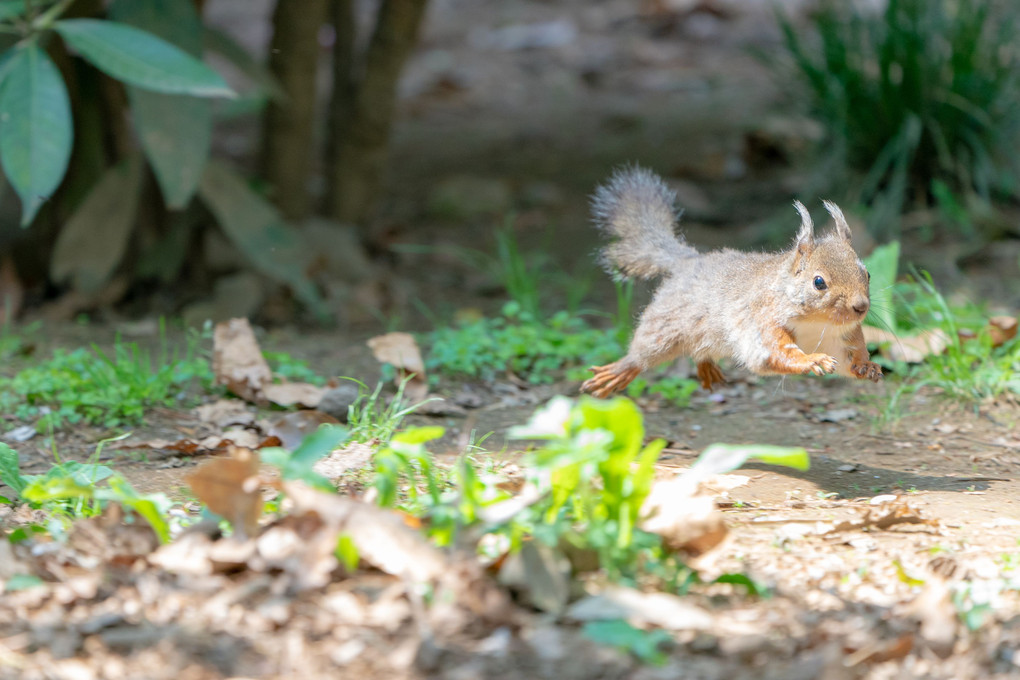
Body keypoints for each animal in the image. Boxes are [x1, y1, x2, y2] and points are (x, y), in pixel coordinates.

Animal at [583, 166, 885, 399]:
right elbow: (779, 353)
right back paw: (619, 371)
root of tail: (690, 262)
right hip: (664, 327)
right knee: (643, 353)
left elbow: (849, 359)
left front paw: (866, 366)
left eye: (868, 274)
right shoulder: (763, 323)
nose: (861, 307)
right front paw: (812, 359)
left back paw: (706, 367)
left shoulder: (843, 338)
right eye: (819, 282)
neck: (817, 324)